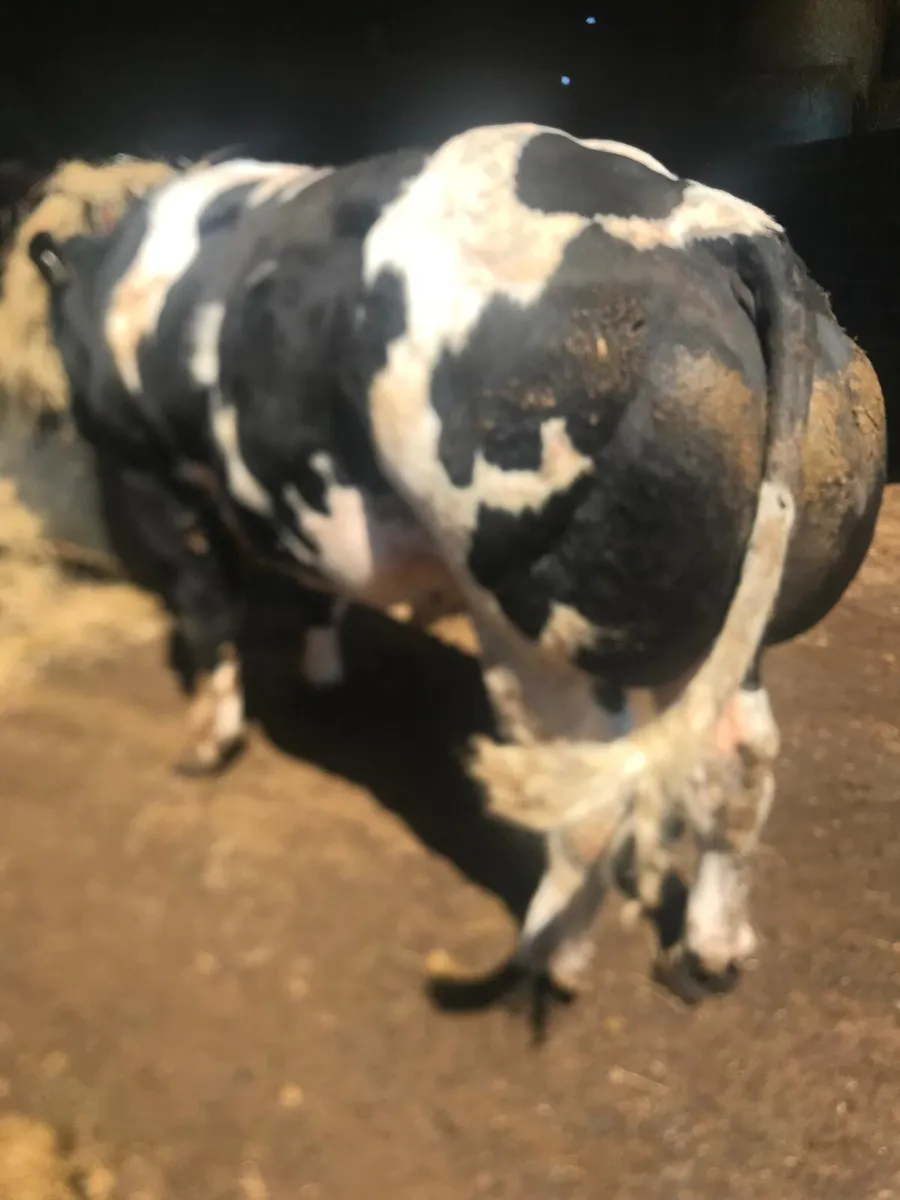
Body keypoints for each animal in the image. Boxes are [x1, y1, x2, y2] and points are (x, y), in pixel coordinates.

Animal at [30, 123, 886, 1002]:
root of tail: (723, 232)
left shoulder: (151, 476)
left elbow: (206, 612)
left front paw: (205, 746)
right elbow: (314, 589)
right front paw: (322, 672)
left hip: (534, 623)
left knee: (587, 796)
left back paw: (548, 956)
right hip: (726, 619)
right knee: (739, 759)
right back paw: (708, 956)